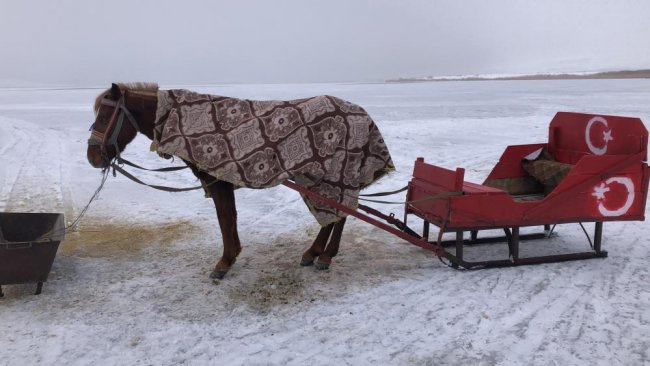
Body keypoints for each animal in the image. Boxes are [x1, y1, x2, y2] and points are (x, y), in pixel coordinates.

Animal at [85, 82, 390, 278]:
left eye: (106, 115)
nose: (92, 157)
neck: (178, 119)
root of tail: (363, 114)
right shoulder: (219, 182)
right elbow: (228, 218)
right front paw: (231, 256)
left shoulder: (219, 182)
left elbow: (225, 219)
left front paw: (225, 261)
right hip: (316, 178)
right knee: (334, 215)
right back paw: (314, 253)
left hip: (338, 173)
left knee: (341, 214)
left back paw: (325, 256)